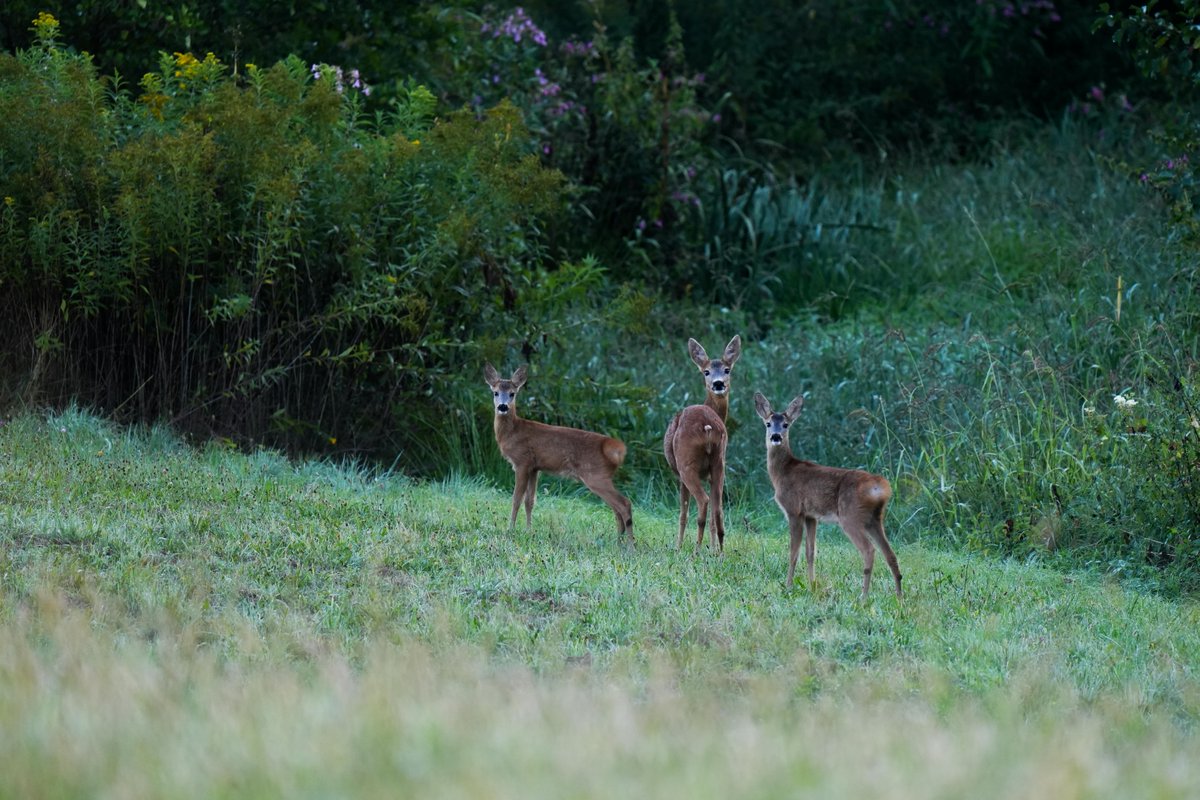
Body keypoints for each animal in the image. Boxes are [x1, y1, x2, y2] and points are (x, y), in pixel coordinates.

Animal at [484, 363, 634, 545]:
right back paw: (618, 542)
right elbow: (530, 501)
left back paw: (630, 546)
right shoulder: (534, 467)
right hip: (601, 477)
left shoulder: (522, 462)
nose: (503, 407)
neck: (512, 432)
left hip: (596, 476)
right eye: (495, 392)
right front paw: (528, 531)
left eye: (513, 393)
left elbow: (516, 499)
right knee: (617, 508)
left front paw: (510, 530)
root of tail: (615, 450)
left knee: (624, 504)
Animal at [663, 335, 741, 553]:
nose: (718, 383)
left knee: (703, 501)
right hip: (719, 462)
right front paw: (712, 548)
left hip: (686, 463)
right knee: (718, 507)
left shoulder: (679, 475)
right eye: (706, 371)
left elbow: (682, 512)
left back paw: (696, 549)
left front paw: (678, 546)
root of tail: (707, 427)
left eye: (727, 370)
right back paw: (719, 551)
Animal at [753, 392, 902, 599]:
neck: (783, 472)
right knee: (891, 554)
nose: (776, 437)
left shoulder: (793, 510)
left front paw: (788, 586)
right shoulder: (811, 516)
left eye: (786, 424)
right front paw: (812, 586)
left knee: (869, 550)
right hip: (874, 518)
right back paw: (899, 596)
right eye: (768, 423)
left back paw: (863, 596)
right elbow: (810, 552)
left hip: (850, 516)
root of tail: (880, 487)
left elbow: (793, 552)